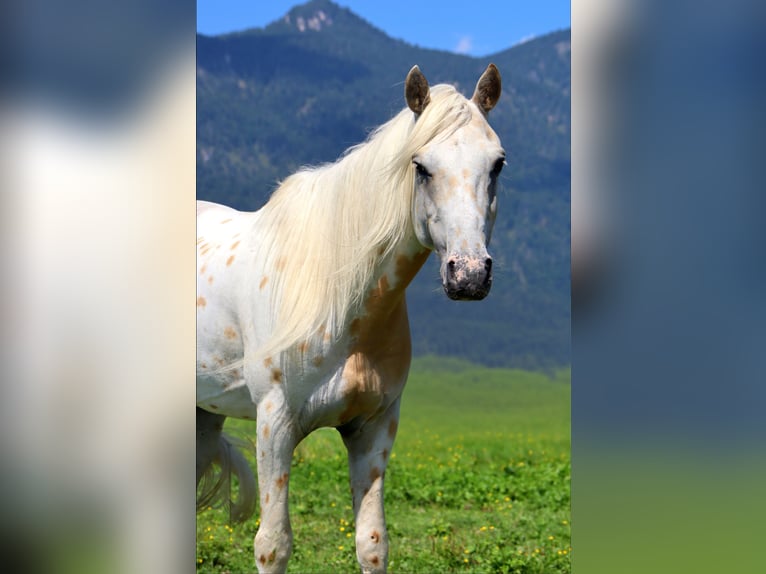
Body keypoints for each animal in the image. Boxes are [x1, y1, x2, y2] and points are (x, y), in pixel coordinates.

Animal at [196, 63, 504, 573]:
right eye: (420, 166)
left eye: (497, 164)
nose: (469, 275)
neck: (343, 306)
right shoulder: (274, 423)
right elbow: (273, 544)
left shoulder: (374, 428)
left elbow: (372, 542)